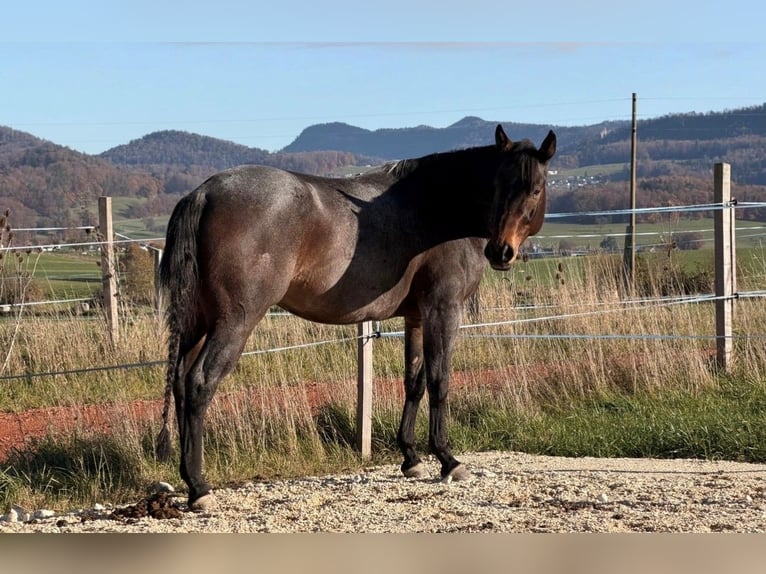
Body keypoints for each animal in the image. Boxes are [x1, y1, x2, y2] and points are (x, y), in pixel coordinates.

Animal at [155, 124, 556, 510]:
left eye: (535, 189)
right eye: (498, 186)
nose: (501, 252)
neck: (442, 208)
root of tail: (204, 193)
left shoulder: (417, 317)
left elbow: (414, 382)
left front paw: (410, 458)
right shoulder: (444, 310)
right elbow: (440, 381)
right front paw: (447, 460)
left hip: (198, 322)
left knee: (179, 382)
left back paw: (188, 479)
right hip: (235, 321)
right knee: (199, 383)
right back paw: (199, 488)